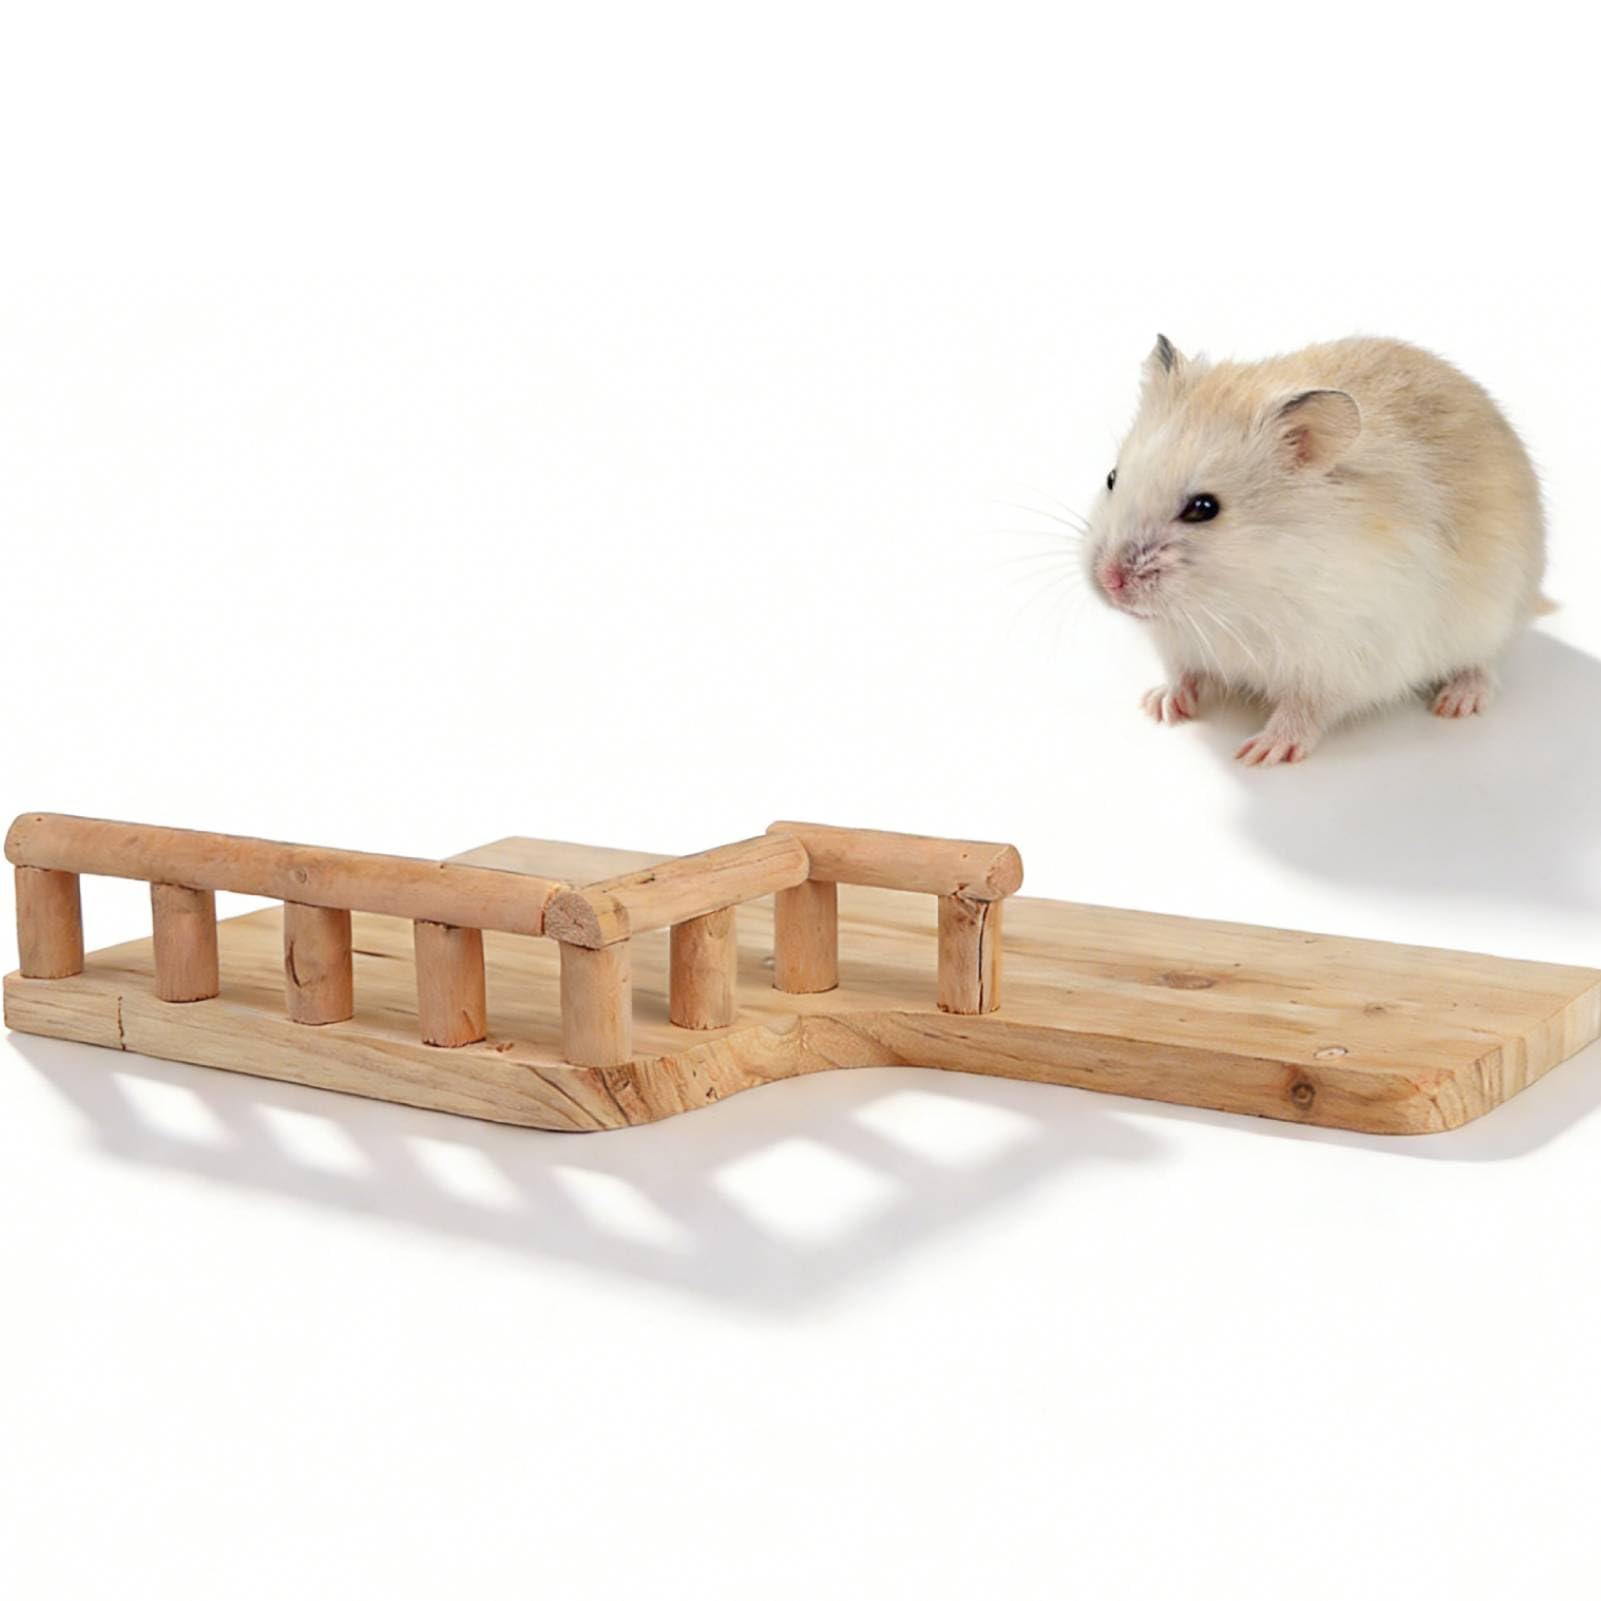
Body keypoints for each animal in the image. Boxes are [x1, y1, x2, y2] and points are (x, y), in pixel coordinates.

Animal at [1083, 335, 1548, 765]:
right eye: (1112, 478)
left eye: (1204, 508)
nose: (1110, 582)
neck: (1231, 601)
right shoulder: (1182, 646)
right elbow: (1184, 674)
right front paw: (1159, 706)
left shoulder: (1344, 660)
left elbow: (1304, 709)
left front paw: (1260, 752)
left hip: (1496, 614)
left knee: (1484, 663)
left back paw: (1457, 702)